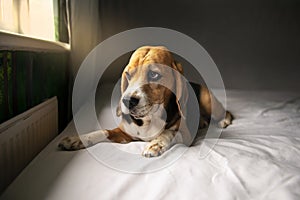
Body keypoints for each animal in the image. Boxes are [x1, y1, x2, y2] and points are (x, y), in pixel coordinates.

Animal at [58, 46, 232, 157]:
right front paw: (76, 139)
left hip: (208, 100)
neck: (150, 118)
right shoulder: (124, 134)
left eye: (154, 75)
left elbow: (168, 132)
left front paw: (156, 144)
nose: (126, 101)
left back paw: (223, 120)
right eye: (128, 74)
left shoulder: (186, 136)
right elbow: (102, 132)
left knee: (226, 112)